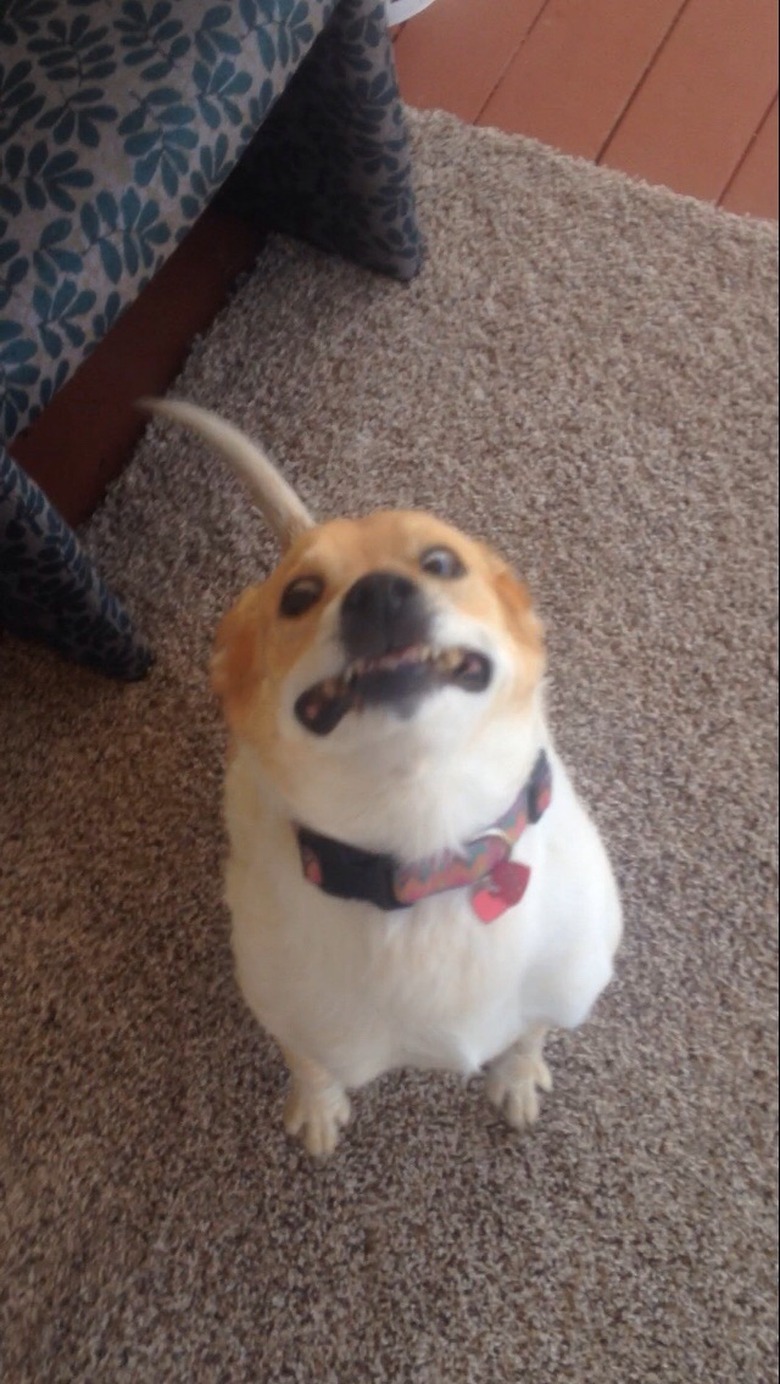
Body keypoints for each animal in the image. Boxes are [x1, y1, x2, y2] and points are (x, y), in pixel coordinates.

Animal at [144, 398, 622, 1157]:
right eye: (299, 595)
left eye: (440, 561)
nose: (379, 595)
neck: (427, 841)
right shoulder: (293, 1017)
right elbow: (309, 1065)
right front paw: (317, 1108)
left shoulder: (564, 988)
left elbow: (529, 1034)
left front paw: (517, 1078)